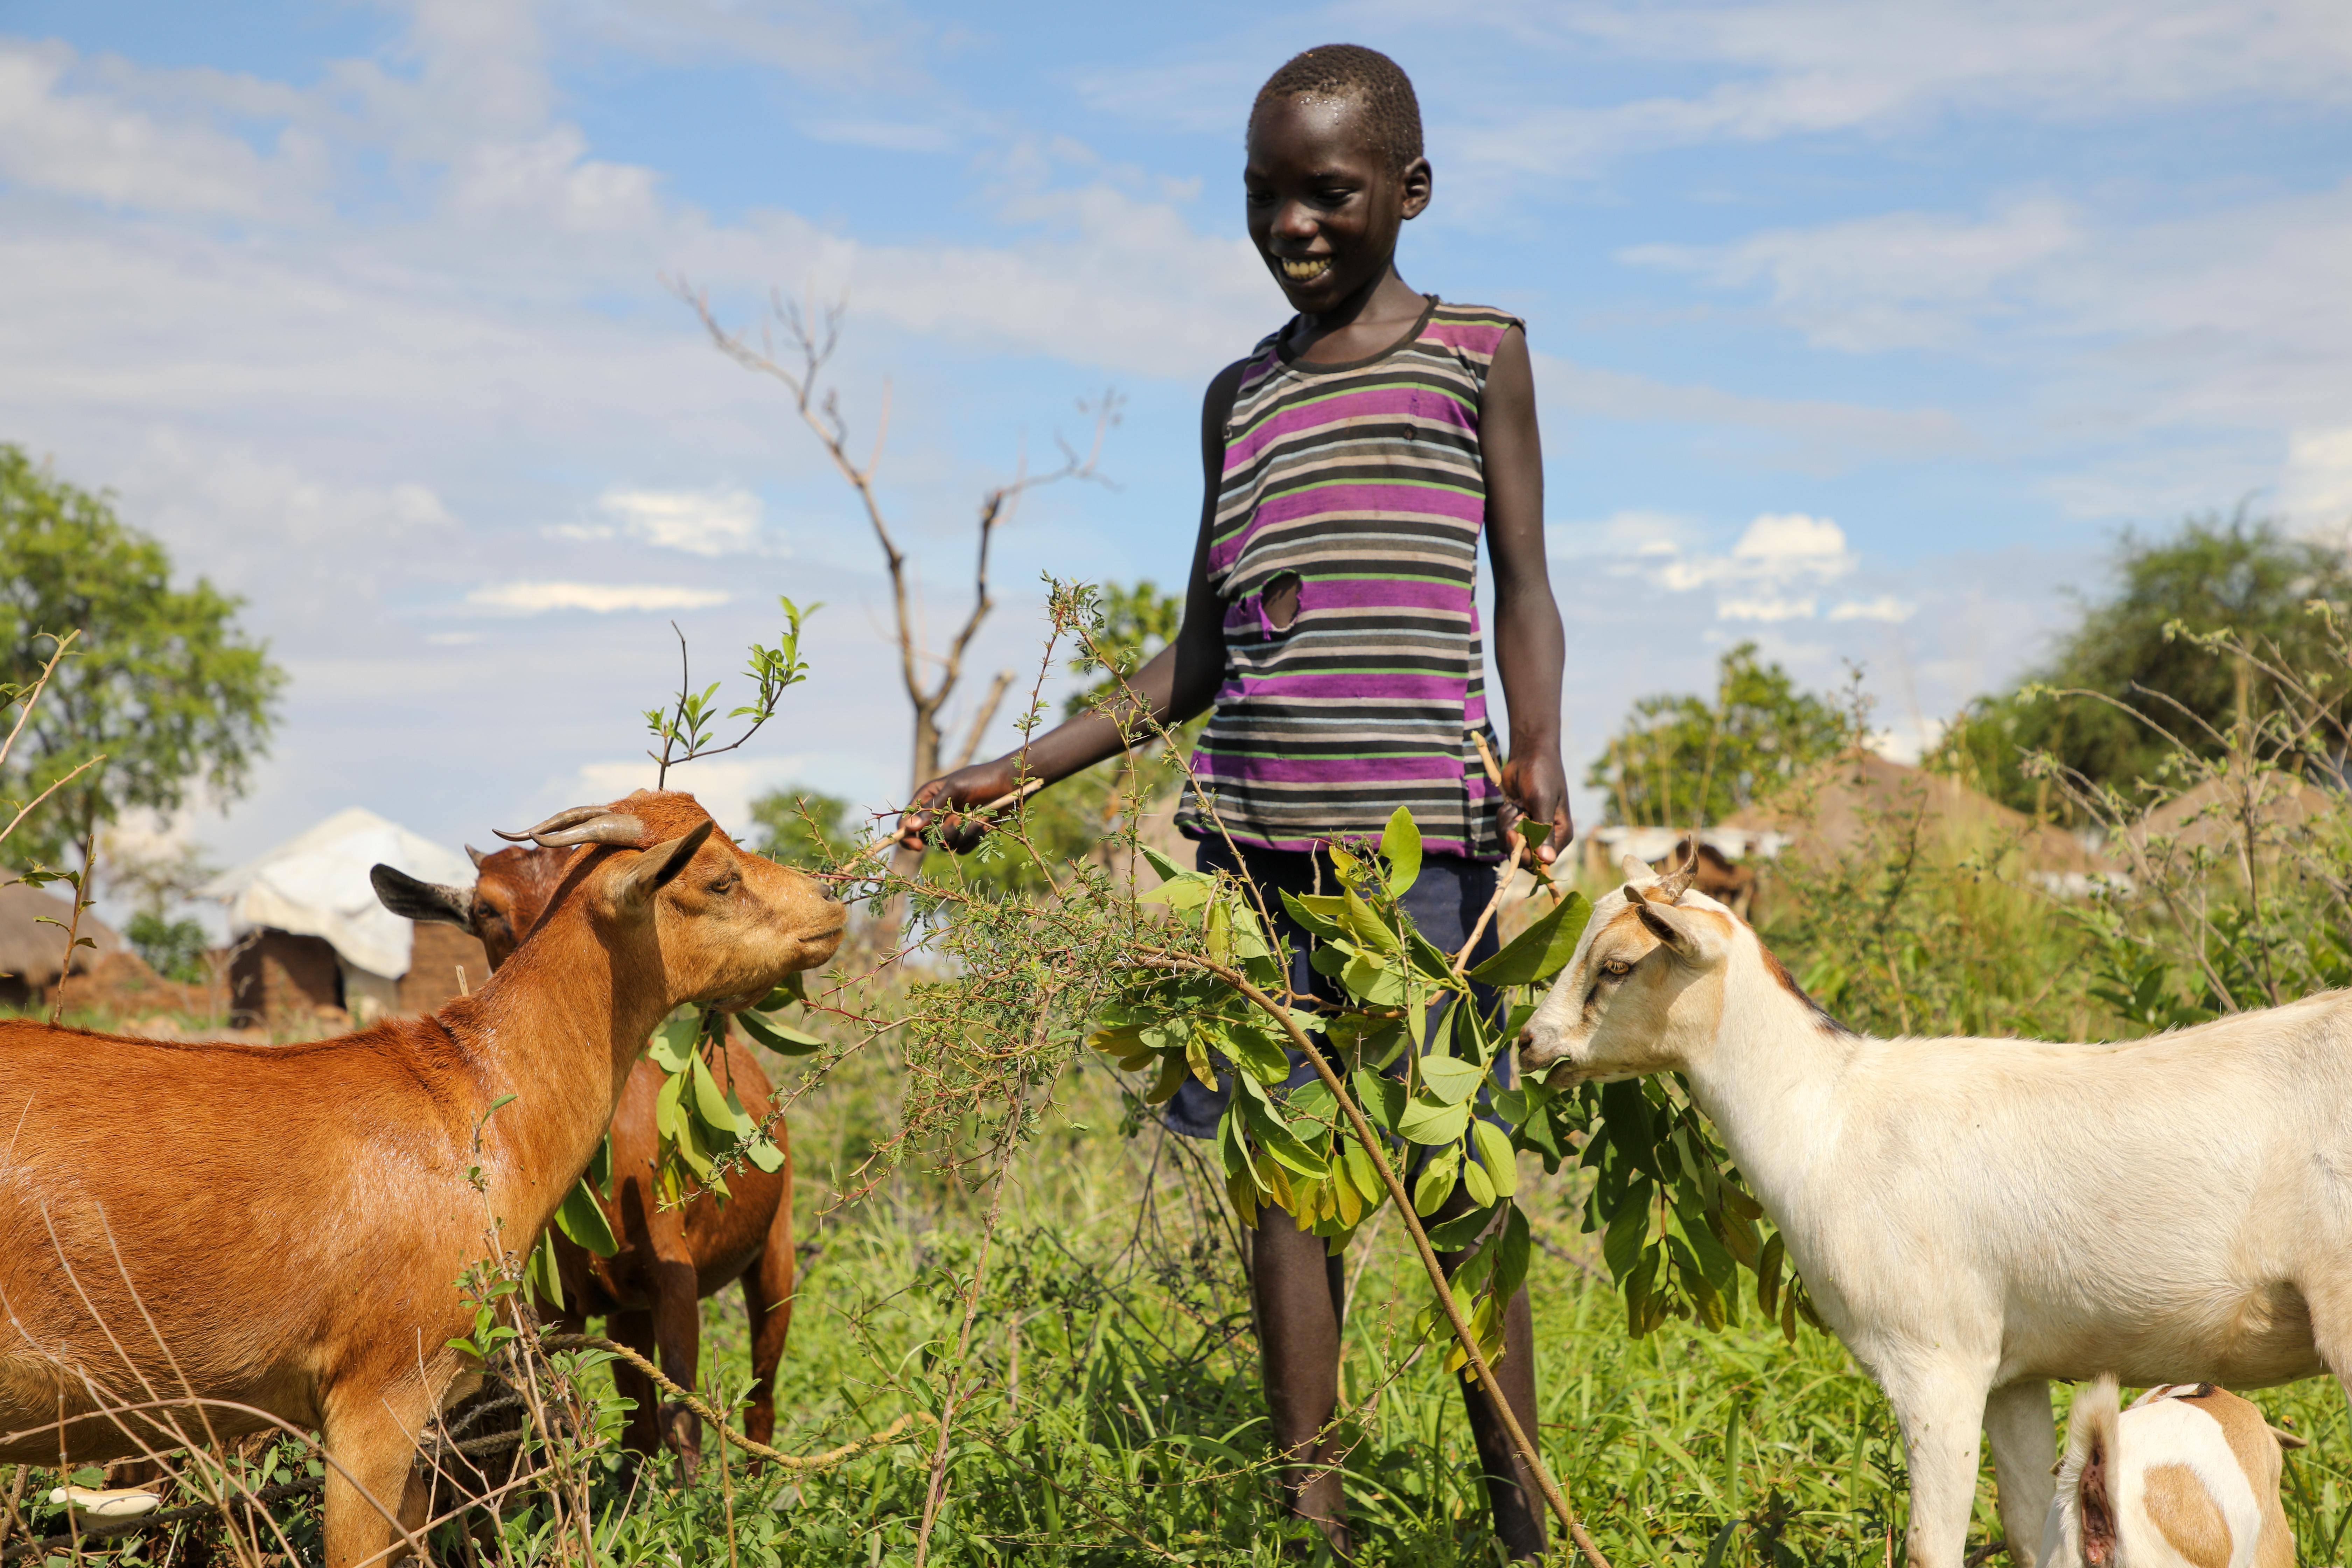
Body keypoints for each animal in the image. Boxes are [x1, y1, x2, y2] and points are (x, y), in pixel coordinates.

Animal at [376, 846, 795, 1476]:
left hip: (774, 1252)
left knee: (762, 1395)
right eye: (486, 910)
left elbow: (684, 1415)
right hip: (626, 1309)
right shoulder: (559, 1304)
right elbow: (564, 1413)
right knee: (639, 1419)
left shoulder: (675, 1276)